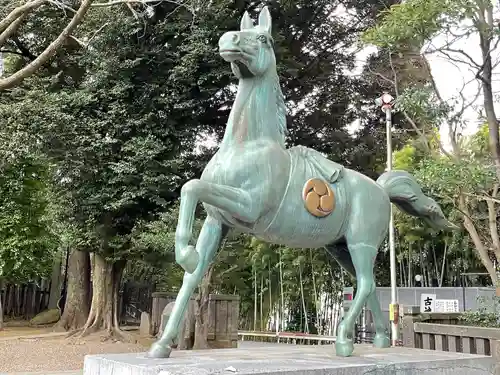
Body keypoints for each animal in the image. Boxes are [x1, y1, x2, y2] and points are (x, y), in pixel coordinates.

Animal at [148, 5, 458, 358]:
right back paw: (378, 340)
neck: (246, 146)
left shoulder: (250, 208)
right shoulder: (217, 221)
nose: (229, 40)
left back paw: (343, 341)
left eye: (264, 39)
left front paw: (185, 255)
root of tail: (380, 189)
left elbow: (191, 187)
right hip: (341, 247)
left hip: (362, 242)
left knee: (366, 283)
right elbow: (193, 275)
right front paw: (161, 344)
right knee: (368, 284)